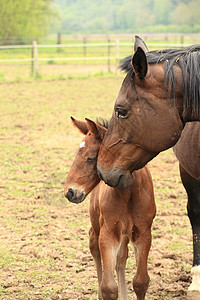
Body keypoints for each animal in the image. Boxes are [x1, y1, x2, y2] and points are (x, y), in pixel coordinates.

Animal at [64, 117, 156, 300]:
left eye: (92, 157)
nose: (69, 192)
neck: (128, 193)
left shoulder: (143, 233)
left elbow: (141, 281)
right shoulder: (108, 232)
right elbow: (108, 287)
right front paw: (104, 291)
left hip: (125, 233)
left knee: (121, 257)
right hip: (97, 224)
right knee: (94, 245)